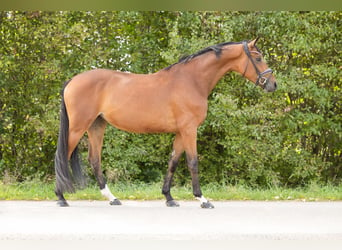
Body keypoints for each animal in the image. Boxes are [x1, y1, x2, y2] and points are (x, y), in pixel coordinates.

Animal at [54, 38, 276, 208]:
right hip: (77, 128)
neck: (191, 80)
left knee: (94, 159)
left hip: (96, 126)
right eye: (258, 58)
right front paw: (202, 199)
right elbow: (193, 162)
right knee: (62, 155)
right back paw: (61, 197)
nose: (273, 84)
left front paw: (169, 198)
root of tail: (72, 80)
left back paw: (112, 198)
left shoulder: (180, 132)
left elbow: (173, 162)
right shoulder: (189, 130)